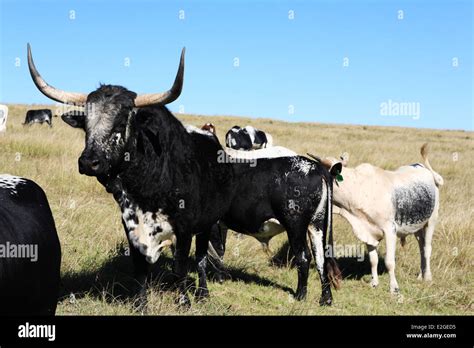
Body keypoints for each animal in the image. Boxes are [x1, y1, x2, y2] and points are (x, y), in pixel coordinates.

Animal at [27, 42, 340, 308]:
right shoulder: (133, 225)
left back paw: (299, 296)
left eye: (120, 122)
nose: (89, 162)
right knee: (320, 258)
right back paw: (323, 299)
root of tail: (314, 166)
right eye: (86, 124)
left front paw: (184, 301)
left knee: (303, 257)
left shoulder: (186, 226)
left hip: (295, 223)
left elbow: (181, 265)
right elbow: (142, 267)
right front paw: (141, 304)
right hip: (314, 224)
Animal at [310, 143, 442, 294]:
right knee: (421, 248)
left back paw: (428, 277)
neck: (358, 189)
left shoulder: (390, 229)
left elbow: (389, 262)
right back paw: (421, 275)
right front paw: (374, 283)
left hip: (431, 221)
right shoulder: (368, 232)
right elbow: (373, 260)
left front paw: (394, 288)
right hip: (418, 228)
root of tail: (423, 168)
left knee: (427, 249)